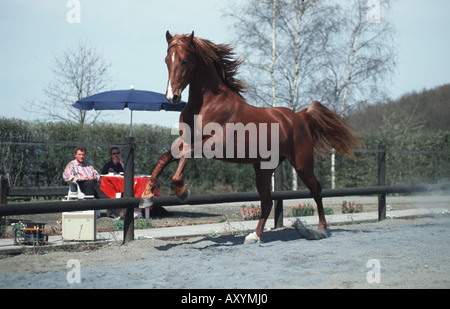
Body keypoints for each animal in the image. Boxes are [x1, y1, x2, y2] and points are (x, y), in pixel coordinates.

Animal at [139, 31, 364, 243]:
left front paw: (182, 192)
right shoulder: (186, 140)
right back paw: (255, 236)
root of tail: (299, 116)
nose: (172, 97)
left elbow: (185, 155)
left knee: (316, 190)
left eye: (184, 60)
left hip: (302, 164)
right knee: (267, 201)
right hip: (263, 169)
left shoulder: (213, 145)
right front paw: (146, 196)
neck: (205, 104)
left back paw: (321, 229)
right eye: (167, 59)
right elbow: (165, 157)